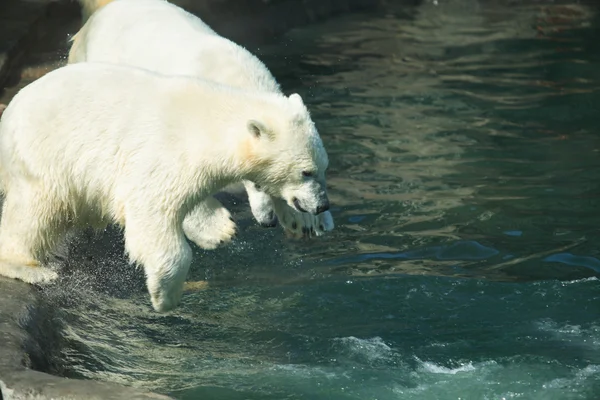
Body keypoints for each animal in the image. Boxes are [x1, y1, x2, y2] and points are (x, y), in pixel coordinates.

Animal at [0, 63, 330, 312]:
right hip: (45, 157)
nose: (322, 205)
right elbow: (152, 211)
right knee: (37, 212)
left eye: (324, 167)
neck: (209, 123)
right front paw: (165, 295)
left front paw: (219, 229)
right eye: (306, 172)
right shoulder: (164, 153)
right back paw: (29, 267)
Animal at [68, 0, 336, 242]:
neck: (235, 81)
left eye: (323, 169)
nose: (267, 222)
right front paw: (218, 229)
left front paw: (306, 221)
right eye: (305, 172)